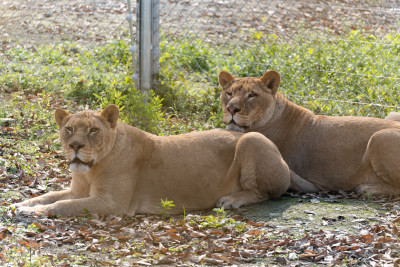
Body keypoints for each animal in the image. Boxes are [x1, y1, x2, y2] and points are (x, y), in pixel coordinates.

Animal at [14, 105, 296, 218]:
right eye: (70, 129)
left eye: (93, 130)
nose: (75, 146)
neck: (89, 170)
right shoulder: (78, 191)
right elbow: (49, 196)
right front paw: (22, 204)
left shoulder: (111, 203)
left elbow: (63, 205)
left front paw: (36, 212)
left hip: (253, 138)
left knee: (264, 193)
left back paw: (230, 200)